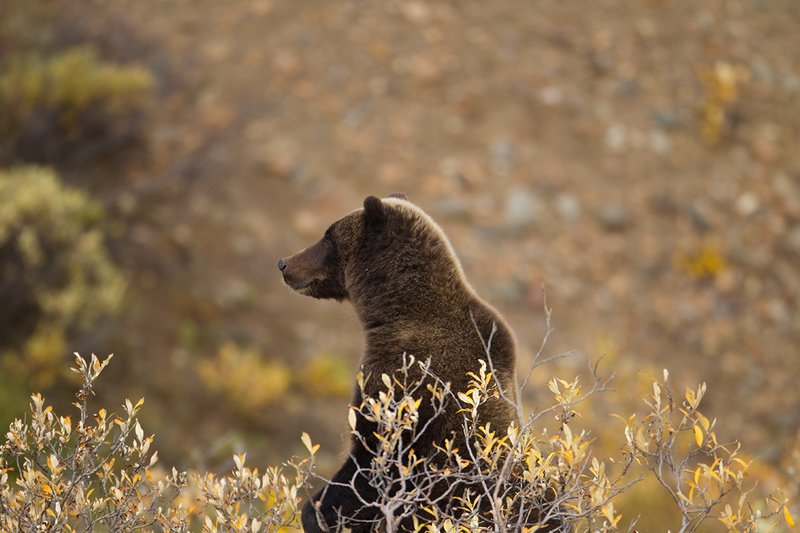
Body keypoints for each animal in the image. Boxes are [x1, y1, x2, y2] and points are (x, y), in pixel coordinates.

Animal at [278, 194, 518, 532]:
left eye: (328, 237)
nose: (284, 263)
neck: (396, 313)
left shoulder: (402, 384)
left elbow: (371, 463)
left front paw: (318, 513)